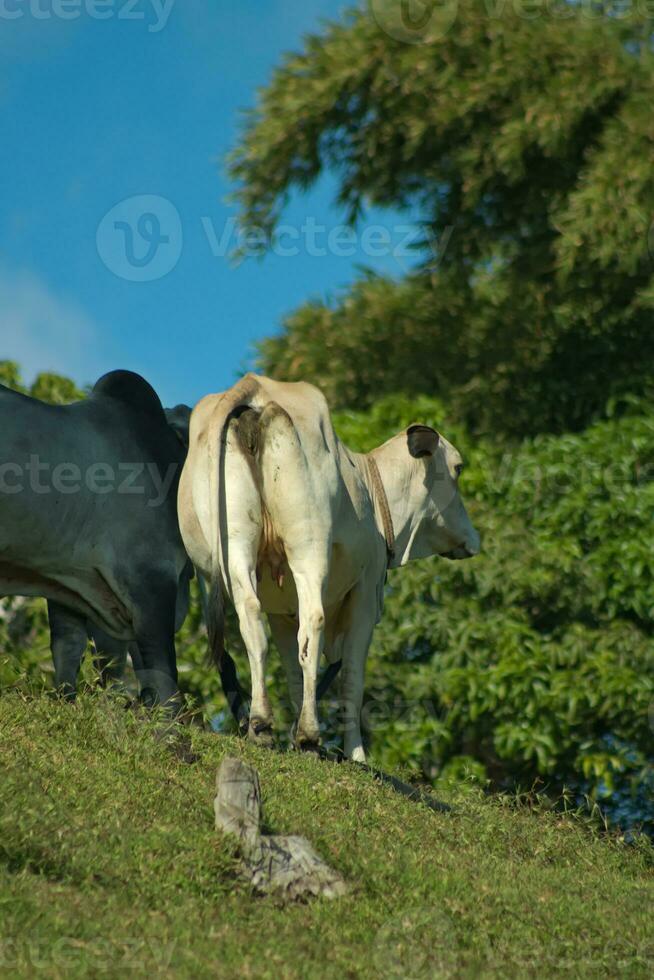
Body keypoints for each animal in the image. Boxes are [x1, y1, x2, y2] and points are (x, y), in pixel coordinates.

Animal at [179, 374, 482, 756]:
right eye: (458, 468)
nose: (473, 538)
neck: (373, 492)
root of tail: (254, 388)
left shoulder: (282, 611)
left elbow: (294, 669)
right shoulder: (365, 594)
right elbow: (351, 676)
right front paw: (356, 754)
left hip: (225, 554)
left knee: (251, 618)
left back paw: (261, 724)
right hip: (308, 547)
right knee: (314, 620)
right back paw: (309, 733)